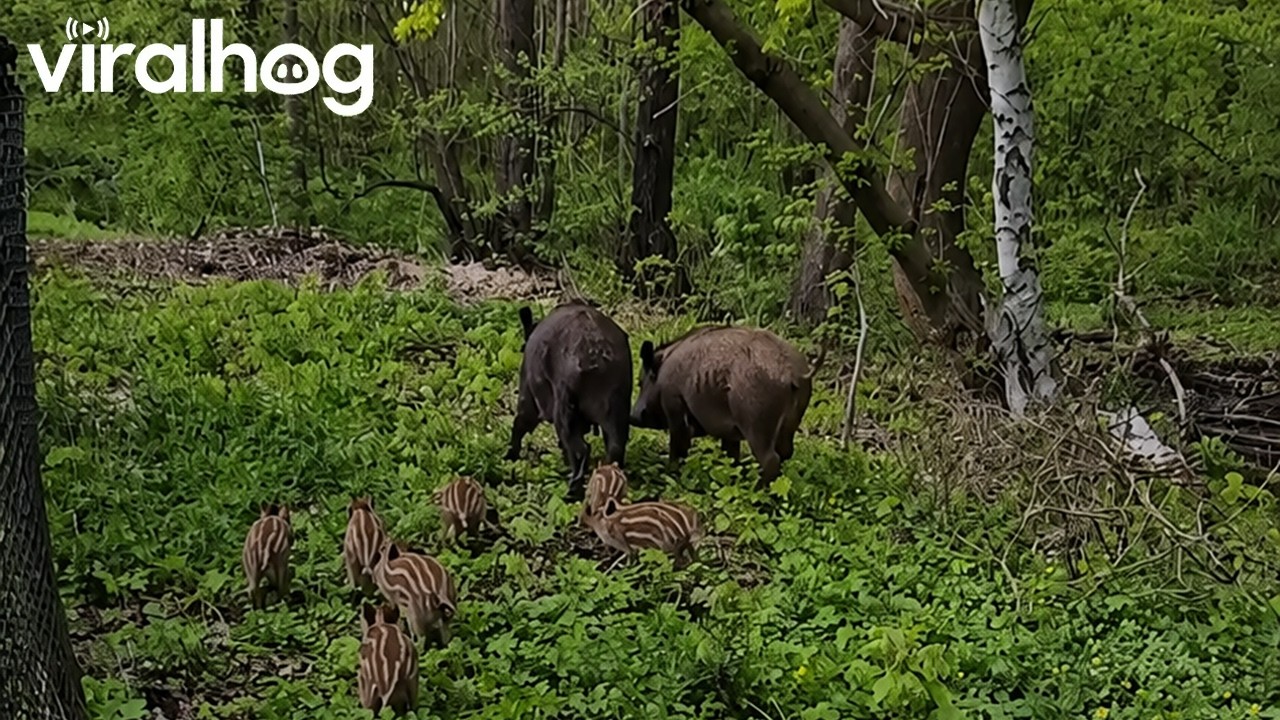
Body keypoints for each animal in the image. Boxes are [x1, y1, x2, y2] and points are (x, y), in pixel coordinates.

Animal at [506, 300, 633, 500]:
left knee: (580, 450)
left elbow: (518, 426)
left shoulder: (529, 401)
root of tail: (595, 351)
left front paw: (511, 456)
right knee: (615, 448)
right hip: (616, 407)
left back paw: (573, 491)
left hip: (565, 410)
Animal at [630, 325, 821, 487]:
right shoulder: (730, 433)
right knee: (786, 453)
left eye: (640, 381)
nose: (632, 416)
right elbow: (731, 456)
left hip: (757, 422)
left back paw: (756, 489)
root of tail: (794, 373)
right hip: (790, 424)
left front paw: (671, 474)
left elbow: (678, 448)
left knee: (770, 459)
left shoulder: (675, 408)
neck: (662, 377)